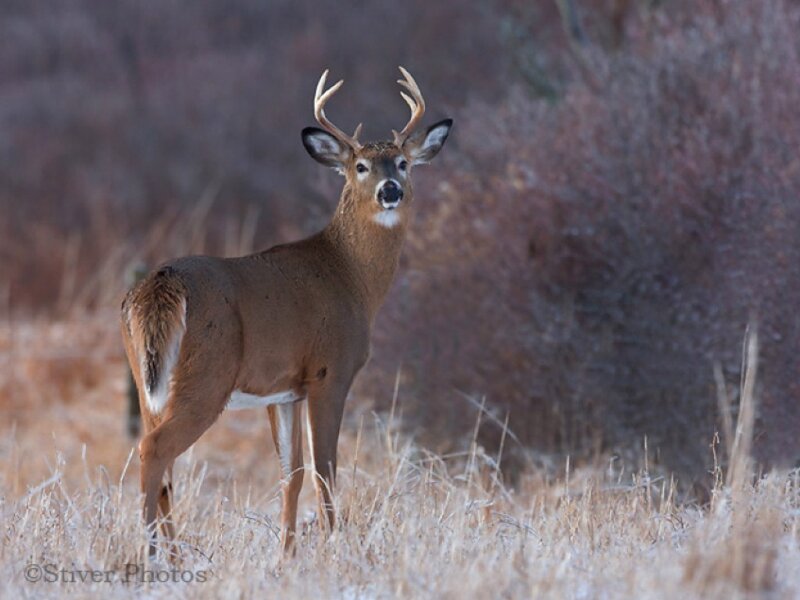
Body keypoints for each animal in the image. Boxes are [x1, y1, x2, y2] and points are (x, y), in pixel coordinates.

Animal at [120, 67, 452, 556]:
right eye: (360, 166)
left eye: (403, 163)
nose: (390, 190)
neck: (351, 276)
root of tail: (160, 286)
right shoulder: (330, 371)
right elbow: (325, 469)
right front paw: (334, 544)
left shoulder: (284, 391)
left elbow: (290, 473)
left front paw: (287, 553)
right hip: (207, 376)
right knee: (154, 450)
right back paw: (153, 554)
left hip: (148, 383)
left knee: (162, 465)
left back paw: (175, 554)